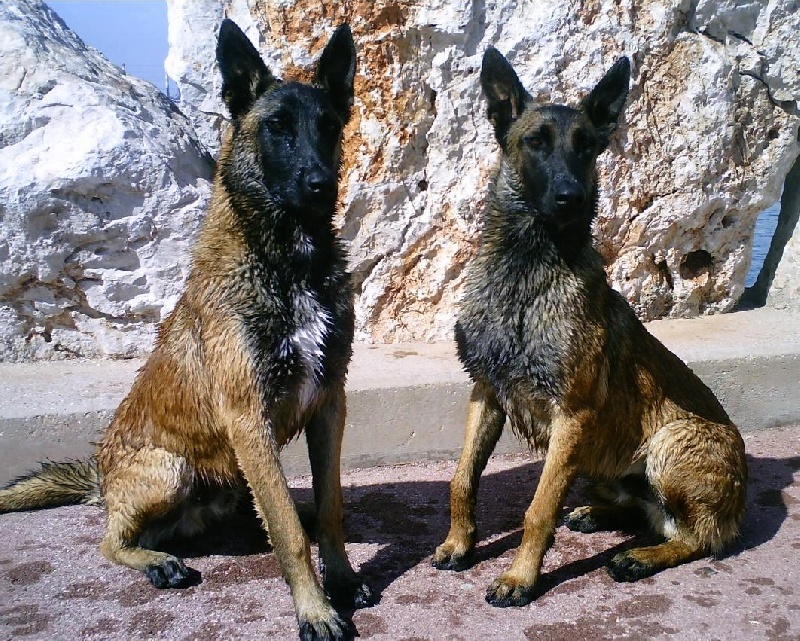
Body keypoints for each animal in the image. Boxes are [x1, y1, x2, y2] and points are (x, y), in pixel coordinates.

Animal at [0, 19, 372, 640]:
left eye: (327, 128)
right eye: (277, 129)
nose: (321, 184)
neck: (285, 261)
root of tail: (101, 478)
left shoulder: (329, 404)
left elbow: (331, 509)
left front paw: (340, 578)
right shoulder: (249, 416)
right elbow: (289, 536)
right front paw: (315, 609)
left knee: (266, 509)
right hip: (170, 471)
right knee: (110, 540)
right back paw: (156, 561)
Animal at [432, 47, 747, 607]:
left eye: (586, 148)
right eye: (536, 142)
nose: (570, 197)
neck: (527, 271)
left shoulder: (571, 416)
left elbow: (538, 509)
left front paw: (520, 578)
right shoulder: (486, 393)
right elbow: (462, 479)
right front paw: (458, 543)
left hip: (669, 441)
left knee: (700, 537)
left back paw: (640, 558)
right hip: (603, 467)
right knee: (647, 513)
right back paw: (597, 515)